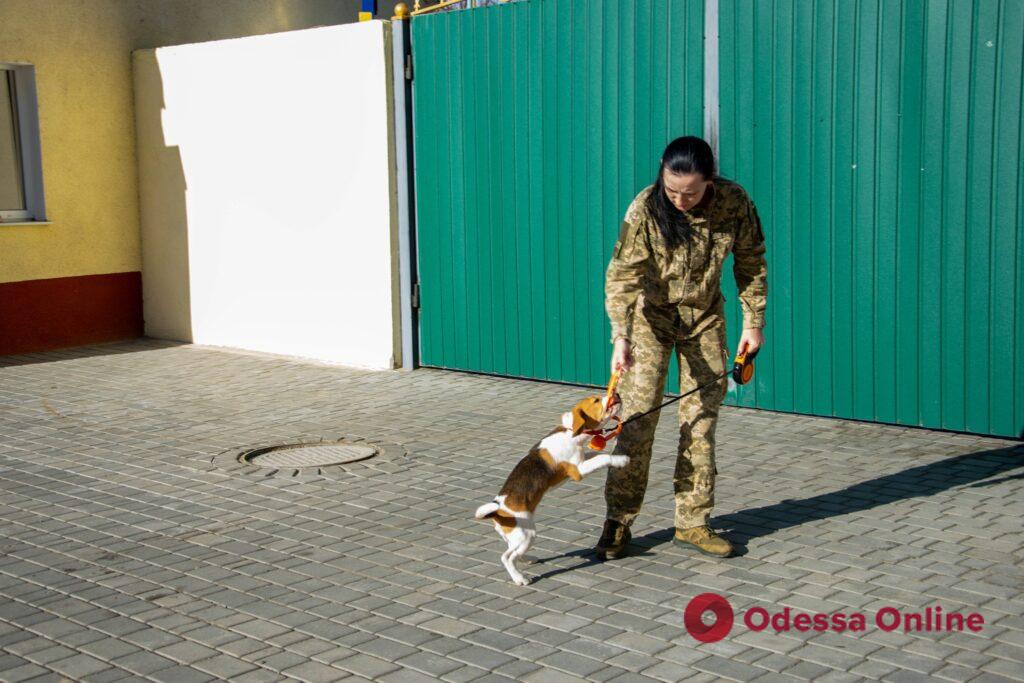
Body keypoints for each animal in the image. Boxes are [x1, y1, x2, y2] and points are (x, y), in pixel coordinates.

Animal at [471, 393, 622, 585]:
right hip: (527, 535)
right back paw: (520, 578)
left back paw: (529, 559)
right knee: (507, 557)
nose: (616, 394)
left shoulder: (583, 459)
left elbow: (597, 454)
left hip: (517, 538)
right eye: (596, 400)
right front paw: (620, 459)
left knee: (515, 554)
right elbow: (602, 458)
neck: (569, 431)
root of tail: (497, 511)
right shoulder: (578, 471)